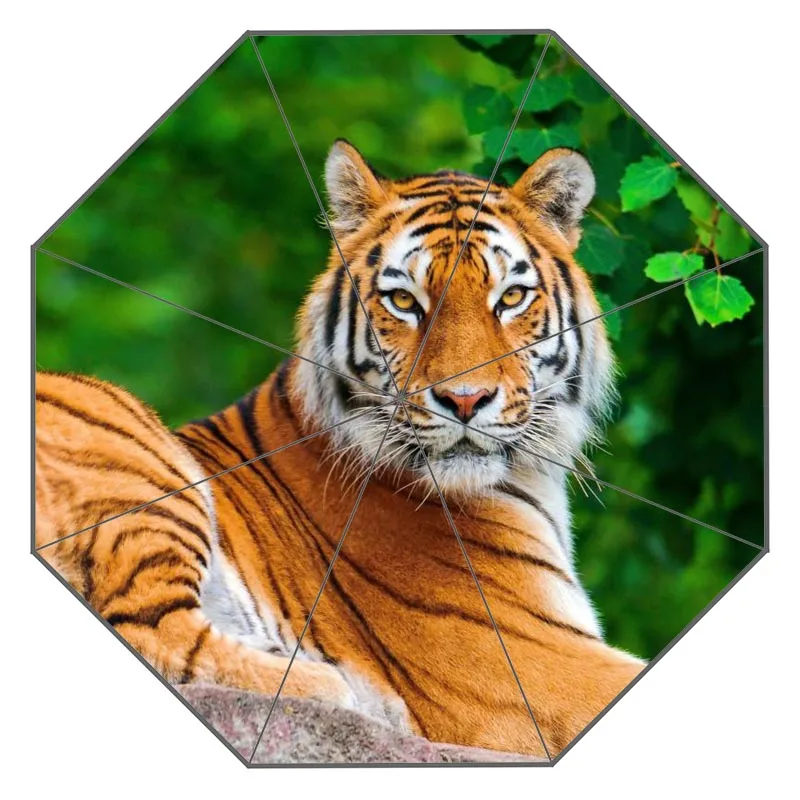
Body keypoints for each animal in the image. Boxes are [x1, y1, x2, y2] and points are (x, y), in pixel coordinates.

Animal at [35, 140, 645, 760]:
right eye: (403, 301)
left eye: (512, 297)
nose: (465, 399)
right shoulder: (524, 661)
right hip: (129, 439)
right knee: (150, 629)